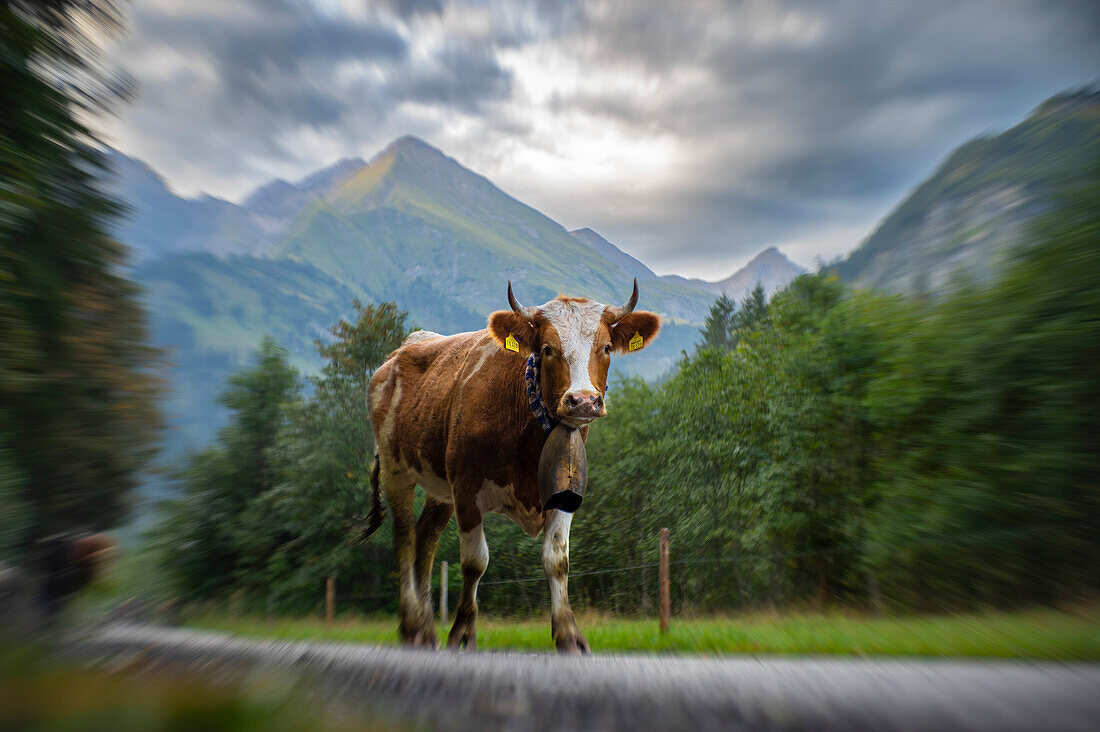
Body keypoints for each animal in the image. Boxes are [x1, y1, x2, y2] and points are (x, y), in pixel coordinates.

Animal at [367, 278, 660, 651]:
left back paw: (426, 630)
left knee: (426, 539)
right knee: (404, 537)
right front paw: (463, 632)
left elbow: (557, 560)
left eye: (607, 347)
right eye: (547, 348)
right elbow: (475, 562)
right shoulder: (467, 488)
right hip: (396, 469)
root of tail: (400, 353)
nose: (583, 401)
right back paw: (411, 625)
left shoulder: (564, 491)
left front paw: (568, 634)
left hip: (439, 488)